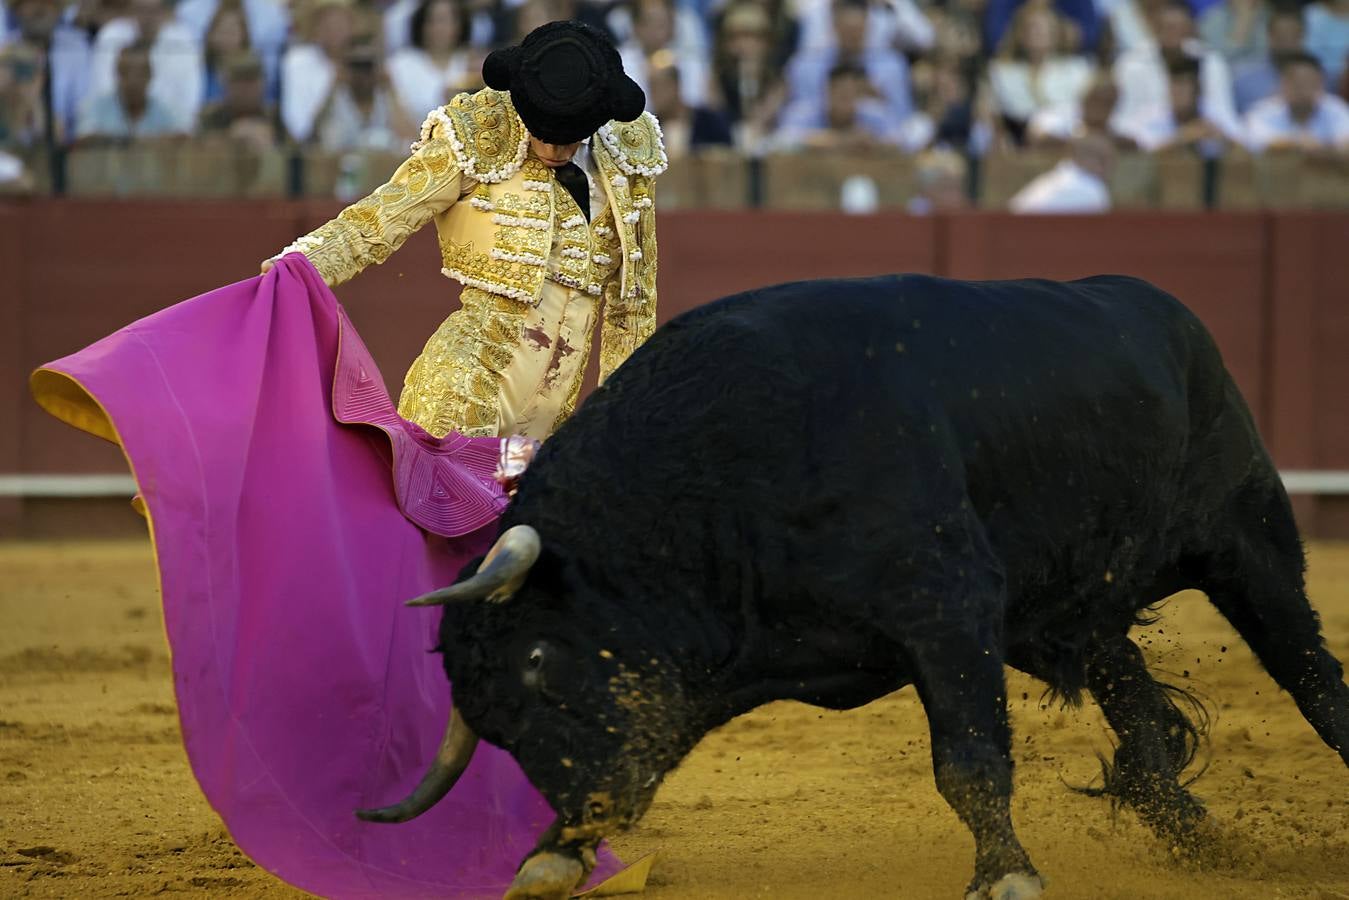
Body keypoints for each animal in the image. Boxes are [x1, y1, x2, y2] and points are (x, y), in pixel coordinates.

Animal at [353, 275, 1343, 900]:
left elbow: (968, 763)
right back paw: (1200, 838)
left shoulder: (947, 609)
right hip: (1060, 605)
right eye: (493, 727)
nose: (584, 811)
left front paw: (1005, 875)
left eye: (535, 662)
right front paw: (553, 859)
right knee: (1136, 704)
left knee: (1310, 675)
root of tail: (1162, 311)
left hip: (1248, 541)